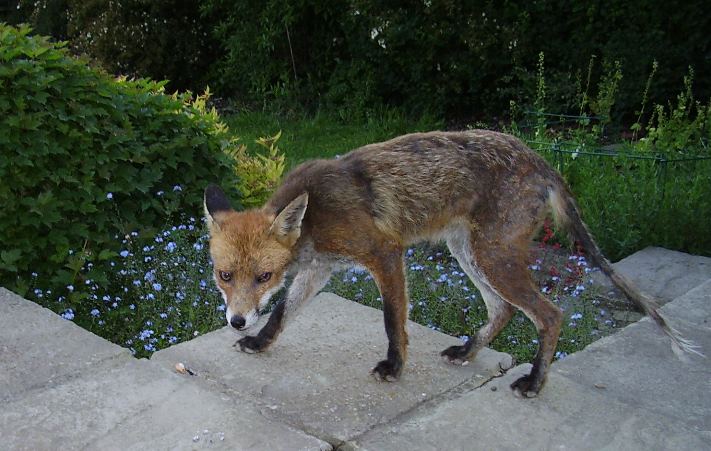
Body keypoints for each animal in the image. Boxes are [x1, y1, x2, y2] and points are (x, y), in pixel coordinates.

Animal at [202, 129, 700, 398]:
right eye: (225, 276)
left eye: (263, 276)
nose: (236, 321)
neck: (316, 216)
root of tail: (542, 159)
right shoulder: (319, 268)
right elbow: (283, 313)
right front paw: (260, 342)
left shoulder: (386, 253)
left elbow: (393, 322)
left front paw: (394, 367)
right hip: (470, 254)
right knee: (503, 310)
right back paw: (468, 351)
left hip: (492, 257)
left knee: (549, 314)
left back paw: (534, 382)